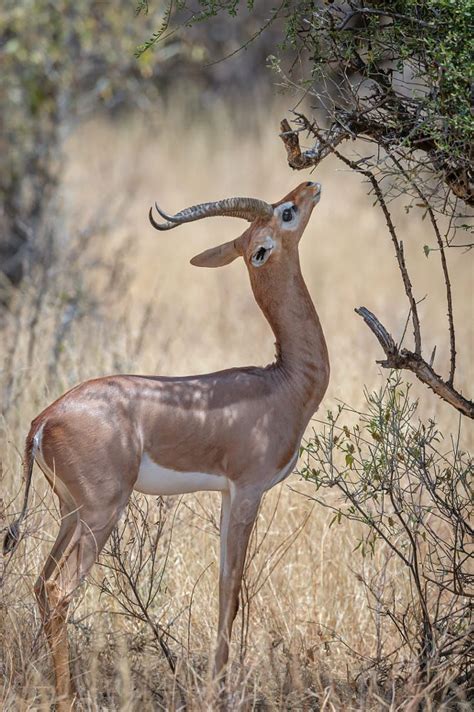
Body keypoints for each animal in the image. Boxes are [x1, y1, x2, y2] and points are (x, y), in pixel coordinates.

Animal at [3, 181, 330, 708]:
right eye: (286, 212)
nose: (310, 185)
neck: (284, 381)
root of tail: (44, 419)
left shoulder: (226, 495)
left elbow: (224, 587)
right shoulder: (248, 491)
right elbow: (231, 589)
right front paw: (219, 691)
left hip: (70, 511)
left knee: (39, 583)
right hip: (102, 513)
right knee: (57, 589)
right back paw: (68, 697)